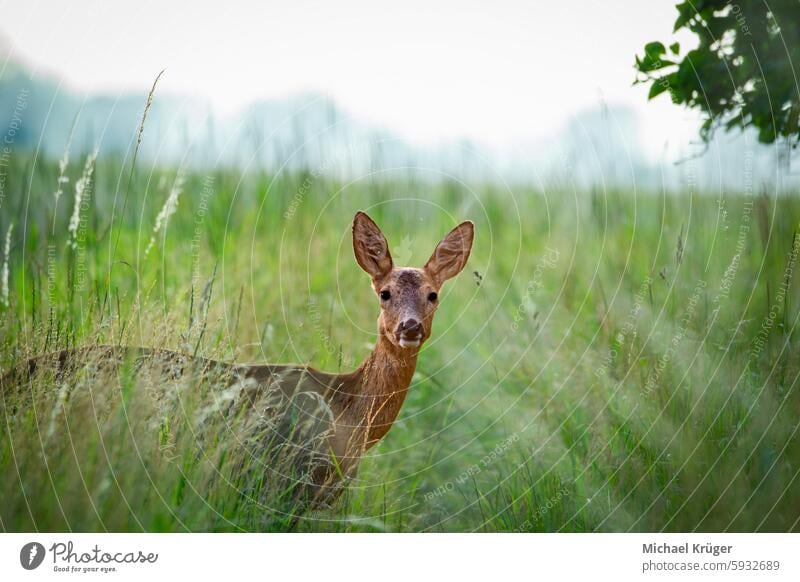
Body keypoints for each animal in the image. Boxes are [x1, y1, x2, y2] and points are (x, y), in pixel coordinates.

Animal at [0, 213, 476, 512]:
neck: (349, 412)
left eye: (433, 294)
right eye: (384, 293)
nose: (410, 327)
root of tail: (13, 376)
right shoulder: (284, 479)